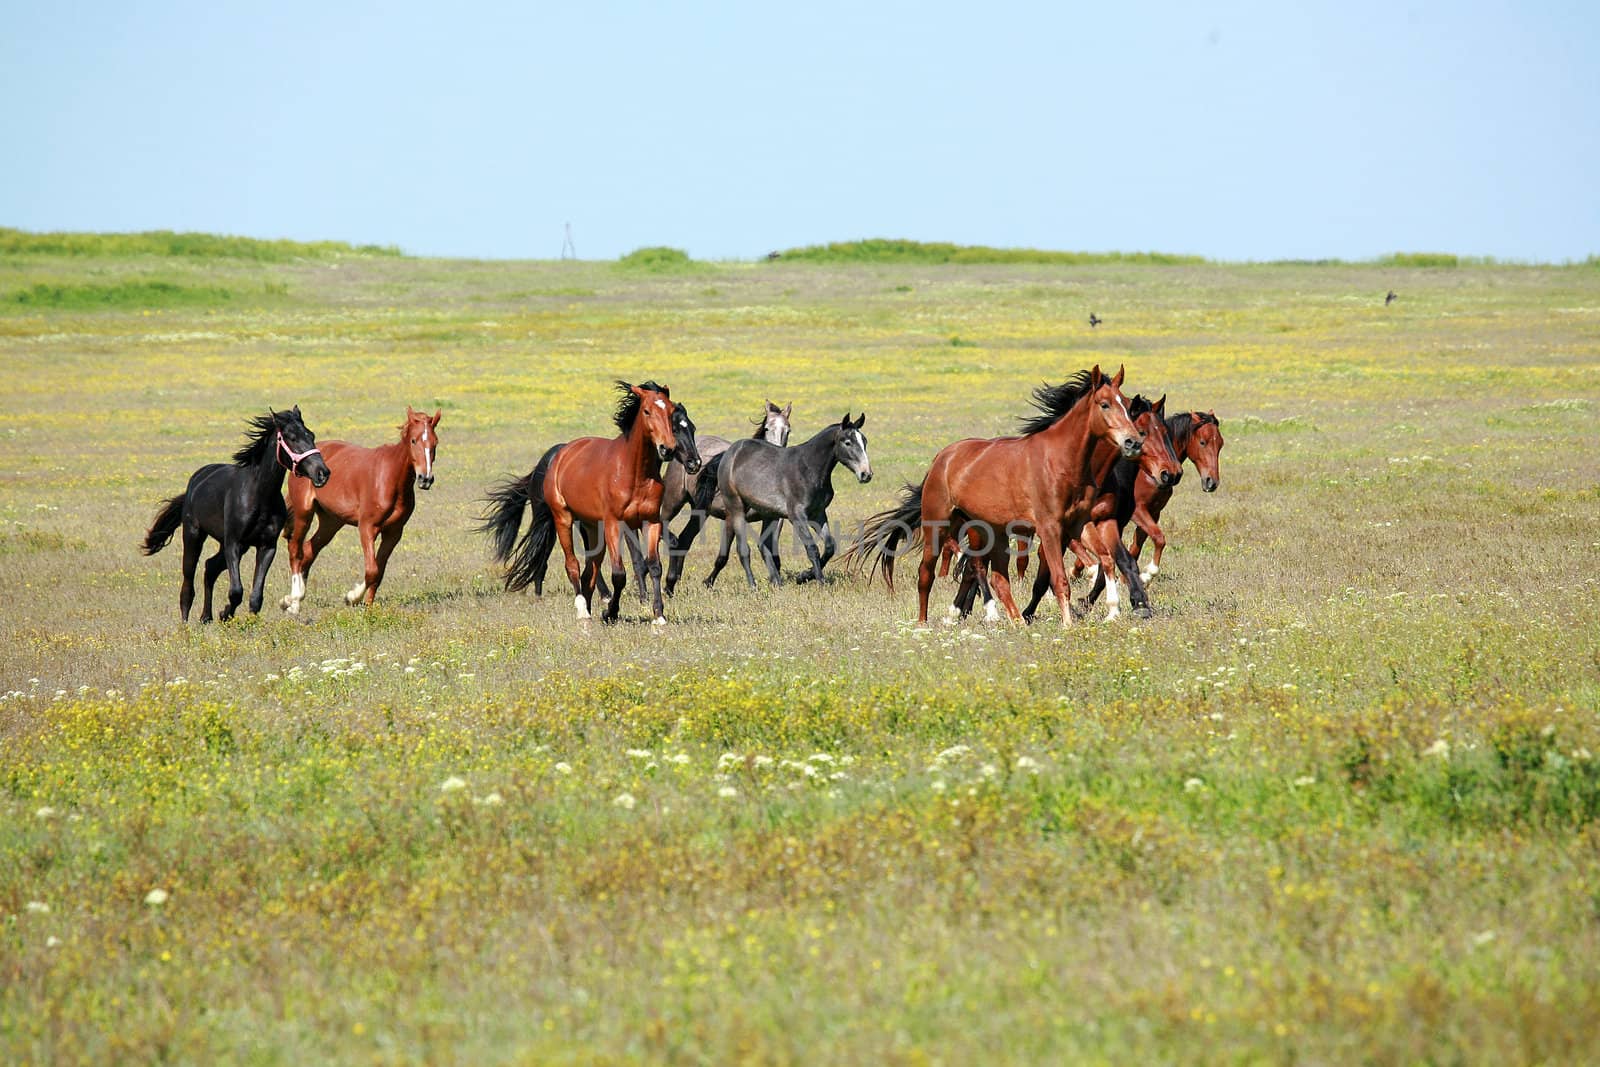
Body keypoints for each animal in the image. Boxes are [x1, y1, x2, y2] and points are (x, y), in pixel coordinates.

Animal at [142, 409, 329, 627]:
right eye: (292, 437)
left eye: (311, 435)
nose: (323, 473)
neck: (260, 496)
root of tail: (195, 482)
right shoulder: (234, 543)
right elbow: (236, 591)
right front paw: (225, 614)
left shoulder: (266, 547)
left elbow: (256, 595)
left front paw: (240, 620)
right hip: (194, 535)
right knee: (188, 581)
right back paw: (186, 624)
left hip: (229, 545)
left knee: (210, 567)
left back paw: (206, 617)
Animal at [275, 404, 438, 614]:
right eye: (414, 440)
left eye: (435, 442)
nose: (425, 478)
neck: (390, 478)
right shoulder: (367, 527)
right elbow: (372, 570)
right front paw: (352, 597)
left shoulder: (394, 532)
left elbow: (379, 571)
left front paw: (368, 606)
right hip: (304, 513)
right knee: (295, 550)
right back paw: (292, 602)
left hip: (331, 522)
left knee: (309, 550)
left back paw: (293, 599)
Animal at [476, 379, 697, 627]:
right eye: (647, 411)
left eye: (670, 413)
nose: (667, 449)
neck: (635, 473)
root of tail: (560, 454)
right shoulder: (614, 523)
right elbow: (619, 574)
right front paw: (610, 613)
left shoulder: (650, 521)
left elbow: (654, 566)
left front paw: (658, 615)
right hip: (563, 519)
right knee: (573, 565)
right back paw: (583, 609)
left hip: (591, 526)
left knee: (590, 570)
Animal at [704, 412, 876, 588]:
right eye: (848, 442)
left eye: (865, 441)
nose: (866, 474)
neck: (808, 469)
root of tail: (730, 453)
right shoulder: (797, 515)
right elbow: (812, 548)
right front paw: (820, 582)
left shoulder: (818, 514)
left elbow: (829, 546)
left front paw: (804, 576)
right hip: (736, 508)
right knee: (743, 549)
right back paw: (752, 585)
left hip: (769, 514)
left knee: (763, 545)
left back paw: (776, 582)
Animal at [844, 367, 1145, 627]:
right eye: (1104, 404)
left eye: (1126, 404)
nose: (1133, 442)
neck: (1061, 460)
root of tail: (942, 458)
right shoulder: (1049, 528)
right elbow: (1060, 579)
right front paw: (1069, 625)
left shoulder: (1078, 525)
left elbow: (1106, 559)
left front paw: (1112, 610)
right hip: (938, 526)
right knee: (926, 574)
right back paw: (923, 623)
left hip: (989, 531)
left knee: (997, 579)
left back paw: (1016, 622)